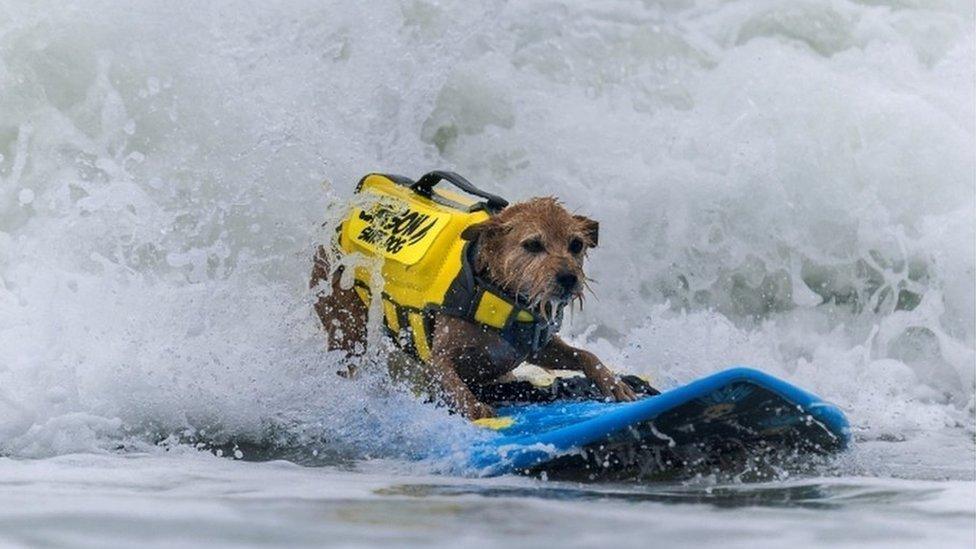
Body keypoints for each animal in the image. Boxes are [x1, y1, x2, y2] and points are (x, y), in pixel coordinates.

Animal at [308, 185, 636, 420]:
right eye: (532, 244)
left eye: (576, 244)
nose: (568, 278)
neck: (499, 297)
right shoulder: (439, 359)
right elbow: (453, 382)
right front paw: (478, 411)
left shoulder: (534, 348)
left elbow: (585, 355)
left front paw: (614, 383)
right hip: (346, 324)